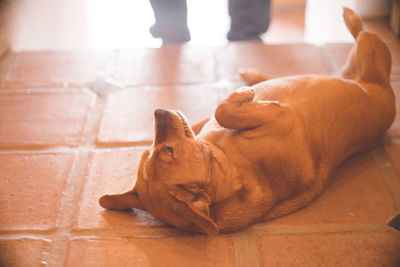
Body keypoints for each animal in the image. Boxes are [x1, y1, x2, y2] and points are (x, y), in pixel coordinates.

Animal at [99, 7, 394, 237]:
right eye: (168, 152)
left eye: (149, 153)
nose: (158, 111)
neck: (229, 162)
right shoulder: (280, 115)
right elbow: (223, 109)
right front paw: (244, 96)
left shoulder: (205, 126)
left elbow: (211, 115)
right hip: (372, 53)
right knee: (362, 34)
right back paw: (351, 18)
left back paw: (253, 75)